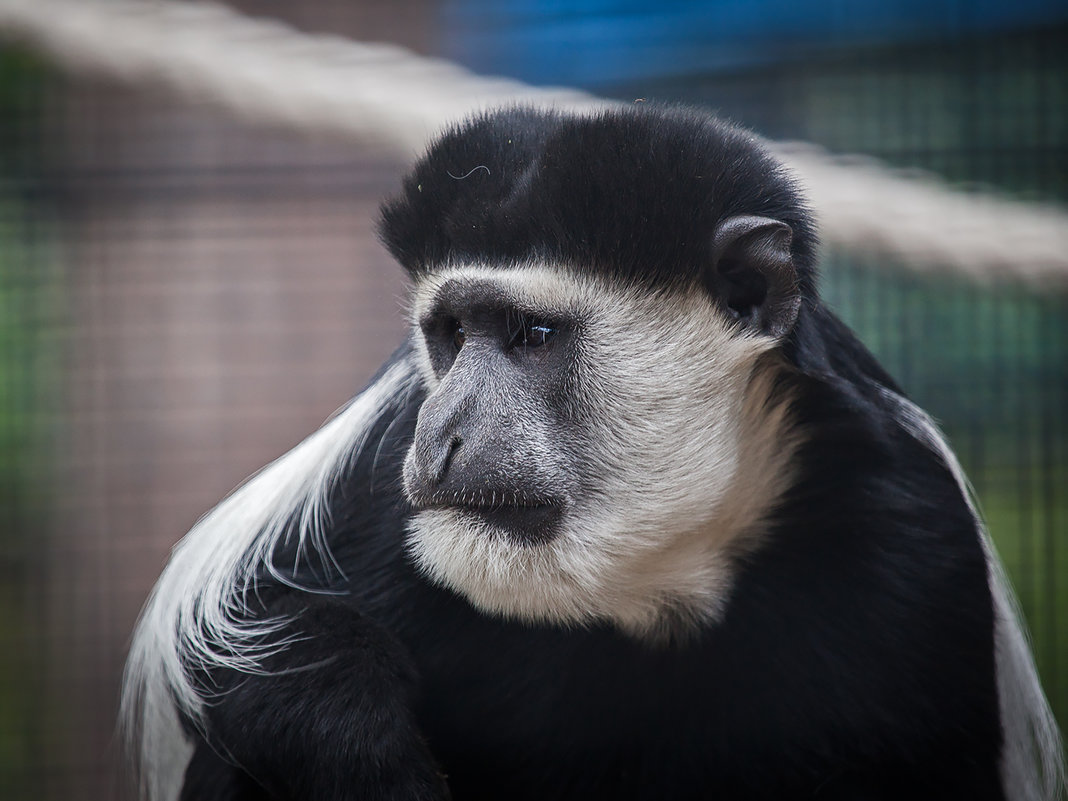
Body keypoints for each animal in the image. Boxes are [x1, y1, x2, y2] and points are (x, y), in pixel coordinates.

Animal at [121, 106, 1063, 801]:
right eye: (451, 333)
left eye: (533, 335)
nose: (441, 434)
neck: (656, 576)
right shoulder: (372, 488)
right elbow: (237, 635)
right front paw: (378, 756)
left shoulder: (913, 540)